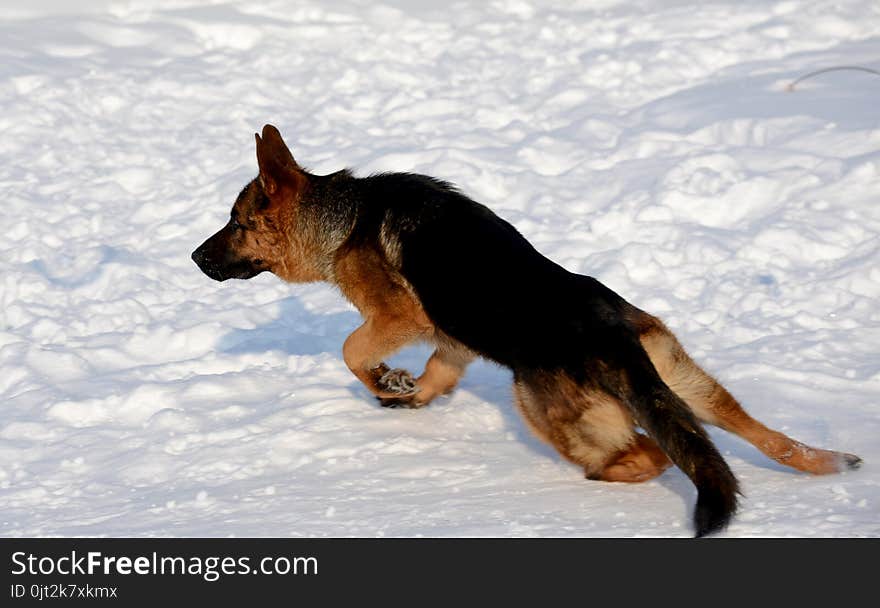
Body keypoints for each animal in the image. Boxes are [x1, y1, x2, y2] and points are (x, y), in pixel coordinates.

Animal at [192, 124, 860, 536]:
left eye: (236, 223)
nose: (194, 258)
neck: (343, 216)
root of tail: (612, 338)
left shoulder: (400, 317)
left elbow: (351, 349)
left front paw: (385, 379)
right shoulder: (453, 341)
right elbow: (436, 372)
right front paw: (404, 393)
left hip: (542, 410)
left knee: (646, 456)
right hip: (688, 384)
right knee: (761, 436)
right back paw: (826, 461)